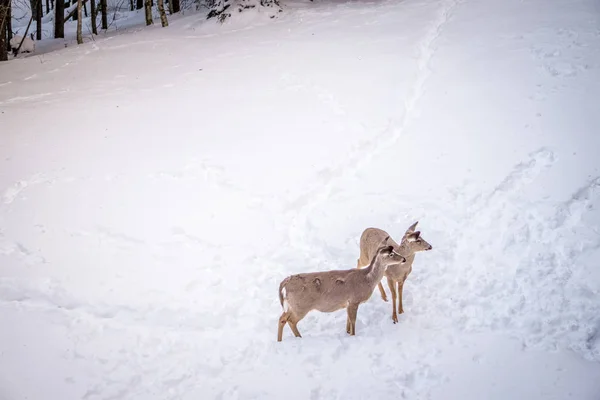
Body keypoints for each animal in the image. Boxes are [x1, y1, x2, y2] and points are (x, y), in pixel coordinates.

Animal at [278, 236, 406, 342]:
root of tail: (285, 282)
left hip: (293, 305)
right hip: (301, 305)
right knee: (290, 320)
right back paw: (299, 338)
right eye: (391, 254)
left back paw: (280, 340)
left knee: (282, 318)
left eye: (394, 251)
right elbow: (353, 320)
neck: (367, 279)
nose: (404, 259)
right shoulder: (354, 300)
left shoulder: (347, 303)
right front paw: (353, 336)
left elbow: (348, 320)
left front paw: (347, 332)